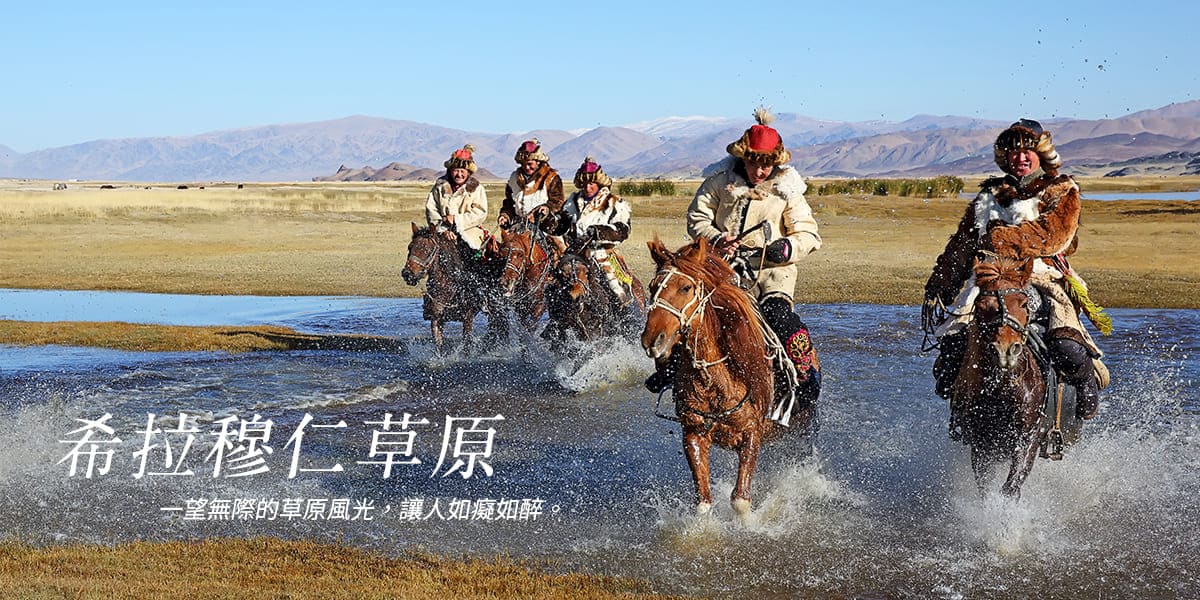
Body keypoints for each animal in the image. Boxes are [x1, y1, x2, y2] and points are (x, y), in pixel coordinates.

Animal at [638, 237, 816, 516]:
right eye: (652, 287)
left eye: (686, 287)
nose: (652, 339)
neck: (714, 381)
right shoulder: (693, 434)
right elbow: (703, 502)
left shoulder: (752, 433)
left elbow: (740, 501)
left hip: (804, 426)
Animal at [950, 252, 1075, 496]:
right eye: (981, 305)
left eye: (1024, 303)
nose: (1005, 351)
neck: (1002, 389)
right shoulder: (982, 444)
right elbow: (984, 486)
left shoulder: (1029, 437)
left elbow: (1011, 486)